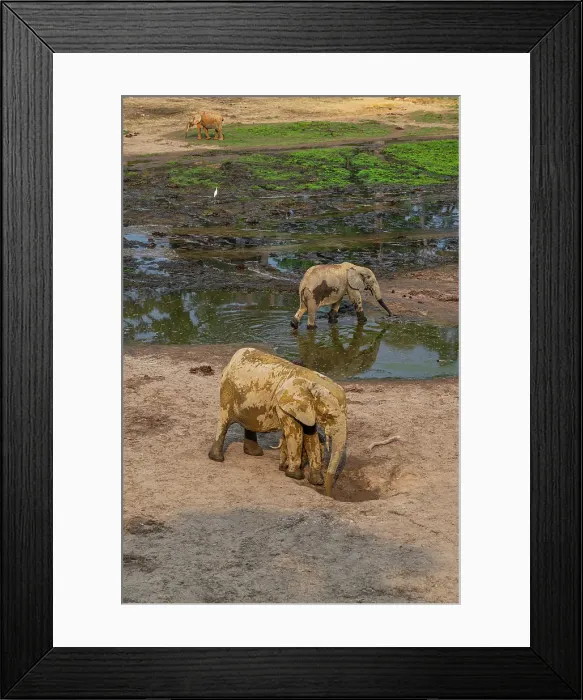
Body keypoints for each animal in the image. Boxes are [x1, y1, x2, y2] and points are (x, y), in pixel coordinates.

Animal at [208, 348, 347, 496]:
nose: (329, 494)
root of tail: (233, 358)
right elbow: (295, 433)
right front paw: (295, 476)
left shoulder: (307, 410)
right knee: (224, 422)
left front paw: (316, 481)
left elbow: (311, 436)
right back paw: (217, 458)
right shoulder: (283, 406)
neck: (311, 380)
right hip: (227, 392)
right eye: (329, 416)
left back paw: (255, 453)